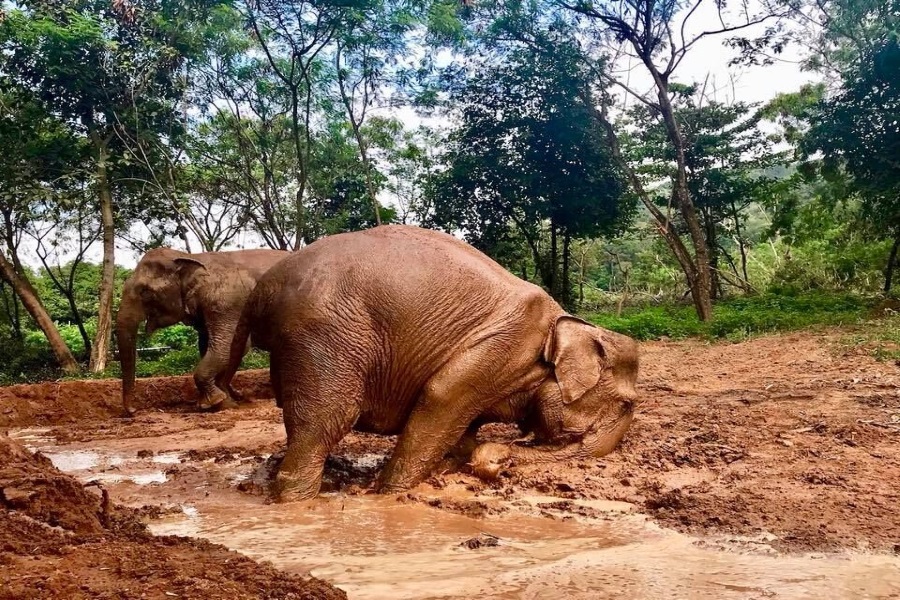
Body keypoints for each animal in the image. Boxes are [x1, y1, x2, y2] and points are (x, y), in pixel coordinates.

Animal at [116, 246, 290, 414]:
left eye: (145, 291)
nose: (134, 411)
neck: (192, 257)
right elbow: (210, 347)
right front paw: (224, 402)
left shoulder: (227, 302)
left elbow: (229, 347)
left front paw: (215, 402)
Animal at [221, 225, 636, 502]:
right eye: (627, 404)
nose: (498, 461)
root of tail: (262, 289)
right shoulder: (501, 348)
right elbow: (439, 400)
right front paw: (388, 496)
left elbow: (461, 429)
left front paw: (456, 463)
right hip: (325, 334)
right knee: (326, 420)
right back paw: (296, 502)